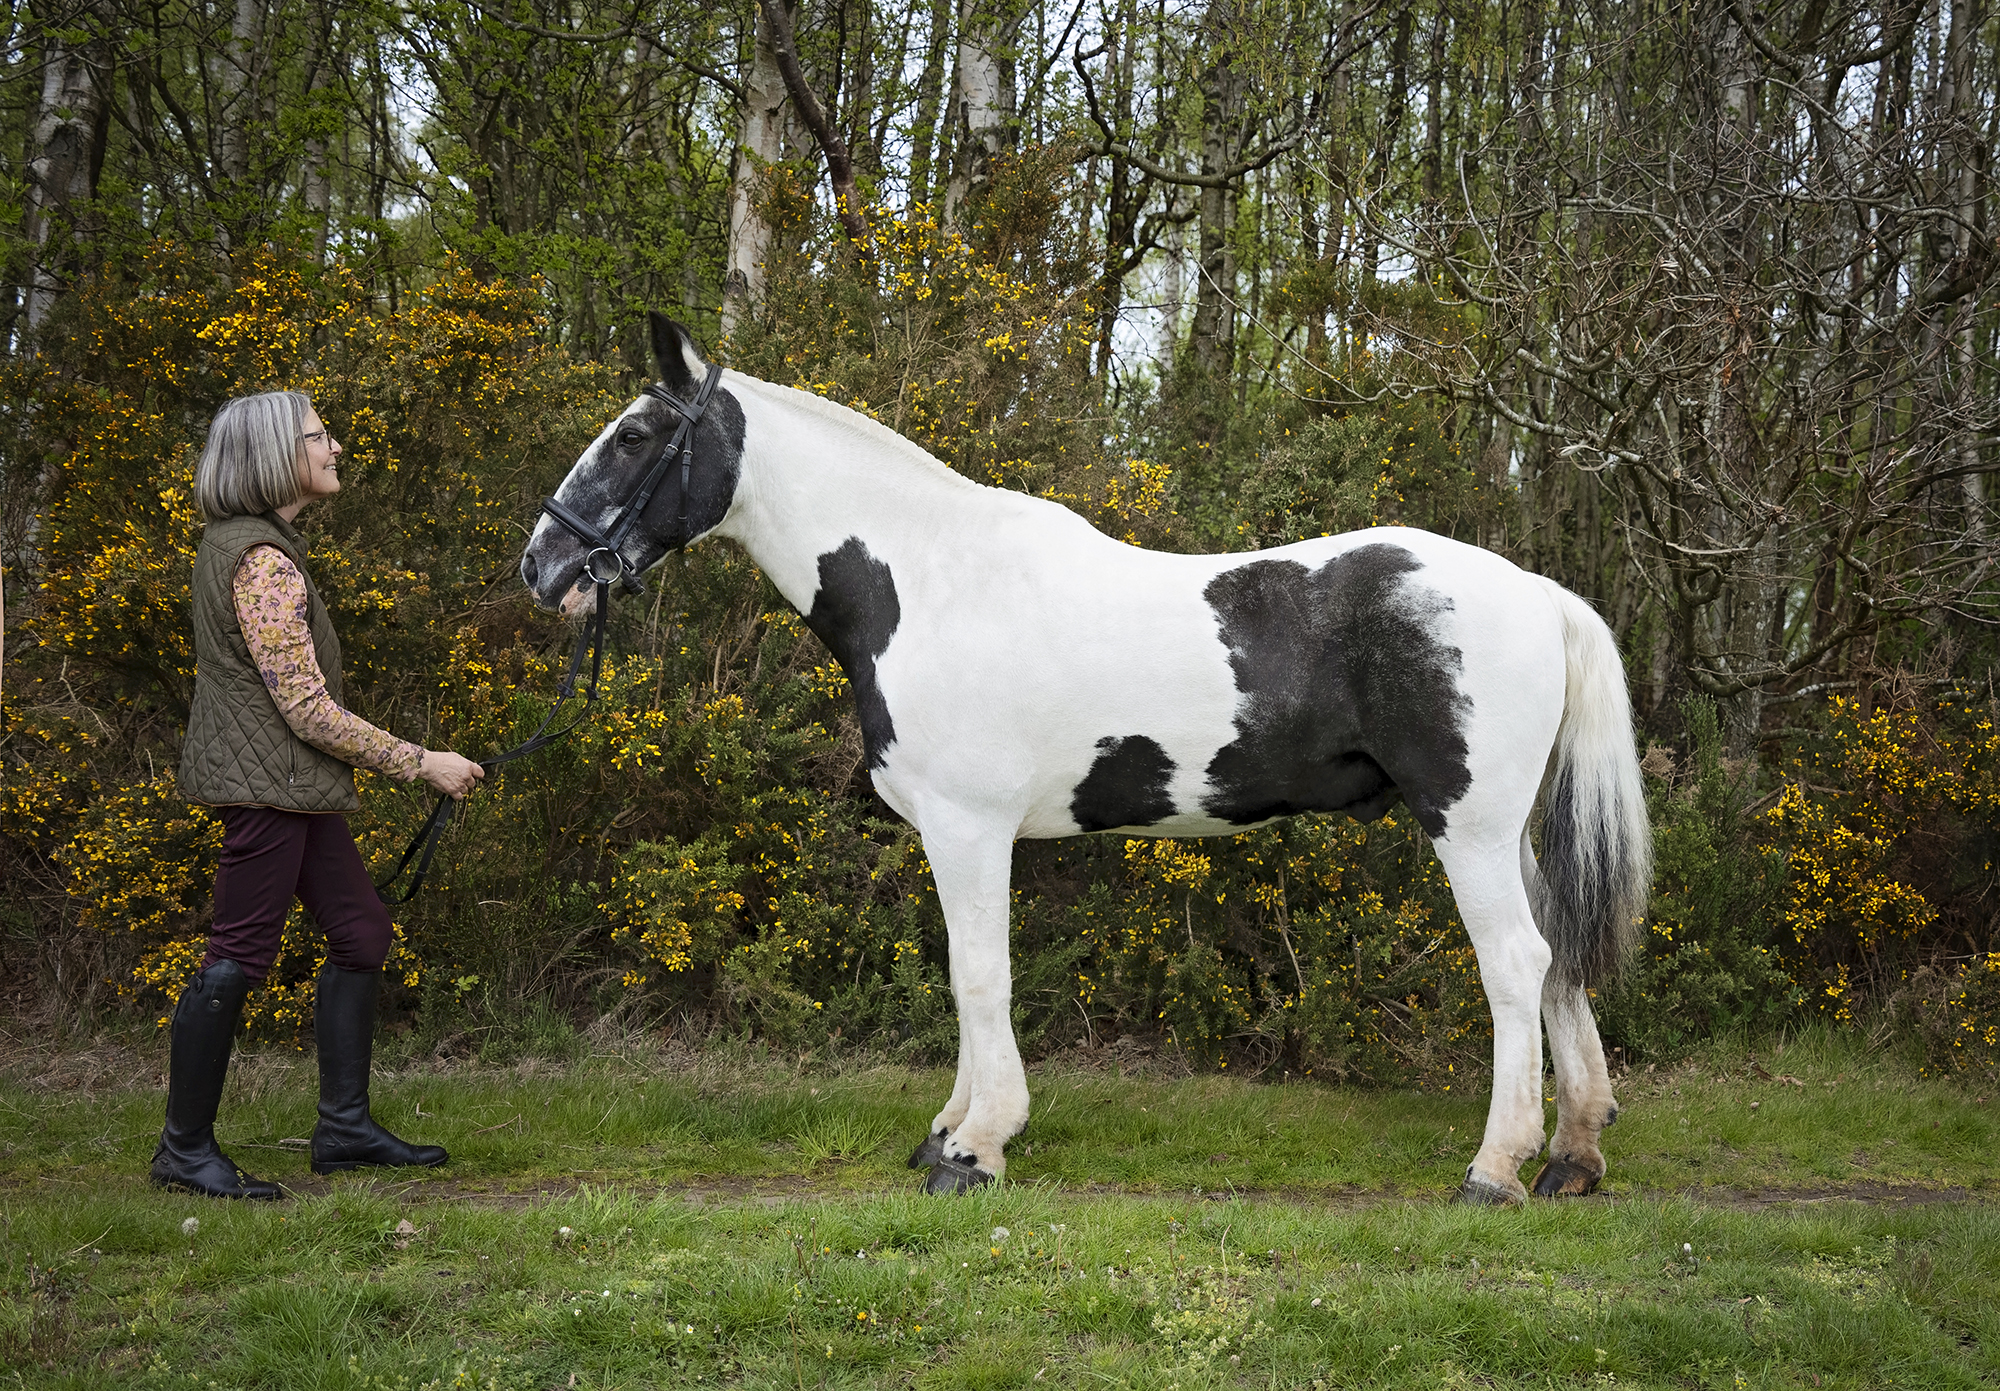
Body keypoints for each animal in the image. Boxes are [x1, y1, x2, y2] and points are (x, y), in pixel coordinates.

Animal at [520, 312, 1651, 1206]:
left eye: (634, 435)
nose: (543, 564)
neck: (925, 582)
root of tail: (1537, 592)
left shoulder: (969, 826)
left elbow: (980, 974)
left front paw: (976, 1148)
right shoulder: (954, 834)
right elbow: (965, 974)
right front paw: (948, 1131)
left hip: (1466, 823)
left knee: (1516, 962)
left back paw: (1495, 1168)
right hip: (1506, 830)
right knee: (1558, 956)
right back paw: (1573, 1154)